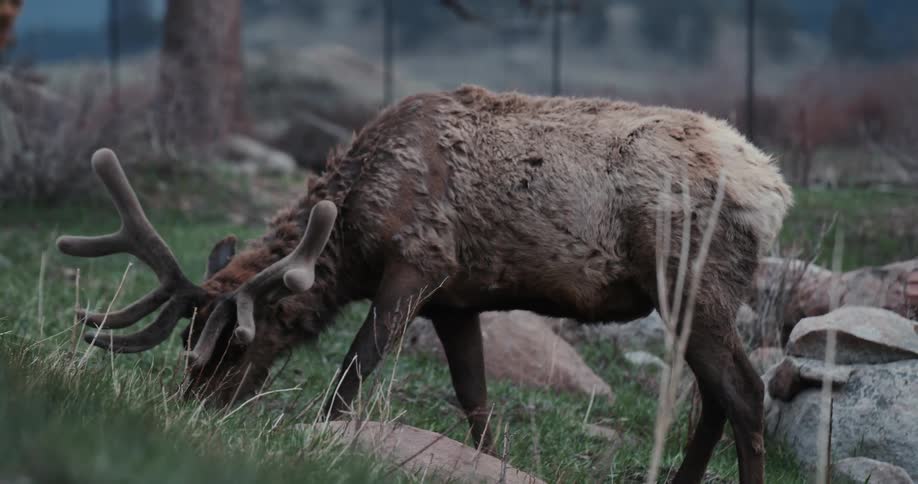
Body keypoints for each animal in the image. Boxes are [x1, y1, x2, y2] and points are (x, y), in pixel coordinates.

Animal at [58, 85, 792, 484]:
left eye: (235, 341)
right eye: (187, 337)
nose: (192, 408)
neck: (353, 233)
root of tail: (775, 191)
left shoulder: (420, 264)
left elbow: (352, 371)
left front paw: (321, 439)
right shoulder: (456, 301)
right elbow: (477, 403)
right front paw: (493, 463)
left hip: (692, 281)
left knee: (745, 392)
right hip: (693, 299)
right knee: (714, 398)